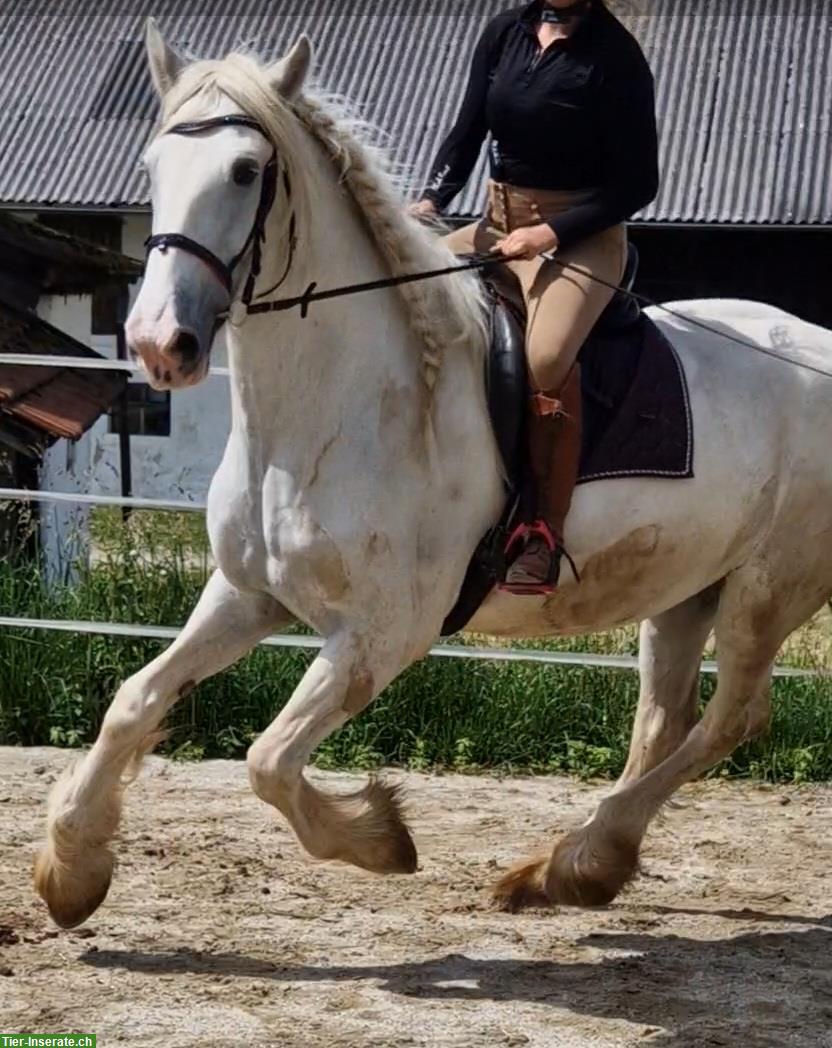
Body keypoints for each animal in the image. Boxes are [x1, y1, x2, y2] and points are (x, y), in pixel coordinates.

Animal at [35, 24, 829, 926]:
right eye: (151, 166)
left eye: (243, 171)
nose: (159, 344)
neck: (337, 413)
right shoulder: (246, 594)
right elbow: (134, 702)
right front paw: (72, 870)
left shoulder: (384, 633)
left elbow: (268, 759)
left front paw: (380, 838)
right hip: (686, 587)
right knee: (667, 721)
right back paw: (577, 867)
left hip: (770, 590)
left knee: (733, 719)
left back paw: (577, 861)